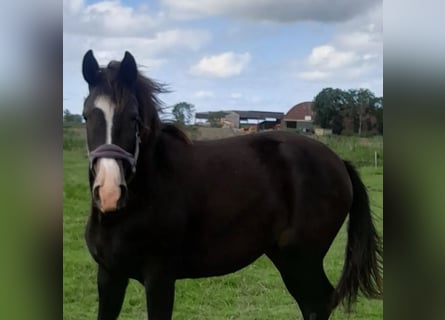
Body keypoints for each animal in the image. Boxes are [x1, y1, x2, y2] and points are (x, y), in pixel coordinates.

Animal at [80, 50, 382, 320]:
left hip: (301, 259)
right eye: (86, 116)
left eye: (133, 117)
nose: (109, 192)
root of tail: (340, 161)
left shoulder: (159, 280)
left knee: (317, 304)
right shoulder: (109, 276)